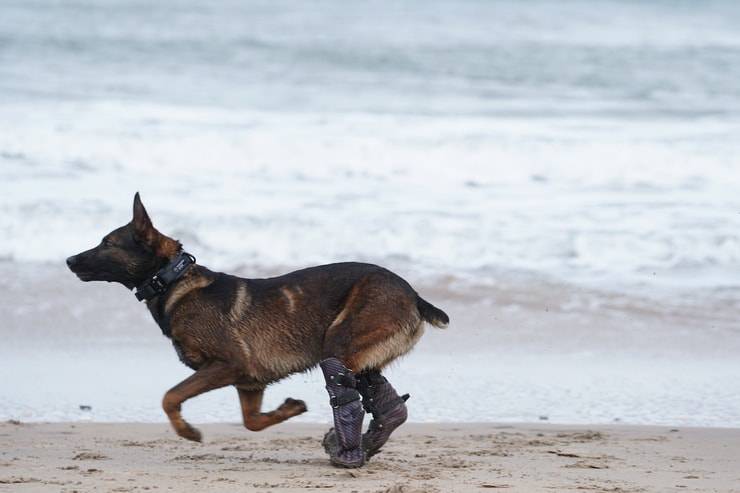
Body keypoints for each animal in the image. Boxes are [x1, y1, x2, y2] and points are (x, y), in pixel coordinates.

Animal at [68, 192, 450, 466]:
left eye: (107, 243)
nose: (69, 260)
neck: (173, 280)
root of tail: (413, 294)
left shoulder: (228, 364)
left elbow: (170, 396)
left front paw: (187, 432)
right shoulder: (249, 382)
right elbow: (252, 421)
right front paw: (288, 410)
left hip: (340, 341)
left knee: (345, 387)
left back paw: (350, 453)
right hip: (362, 353)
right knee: (385, 404)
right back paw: (364, 444)